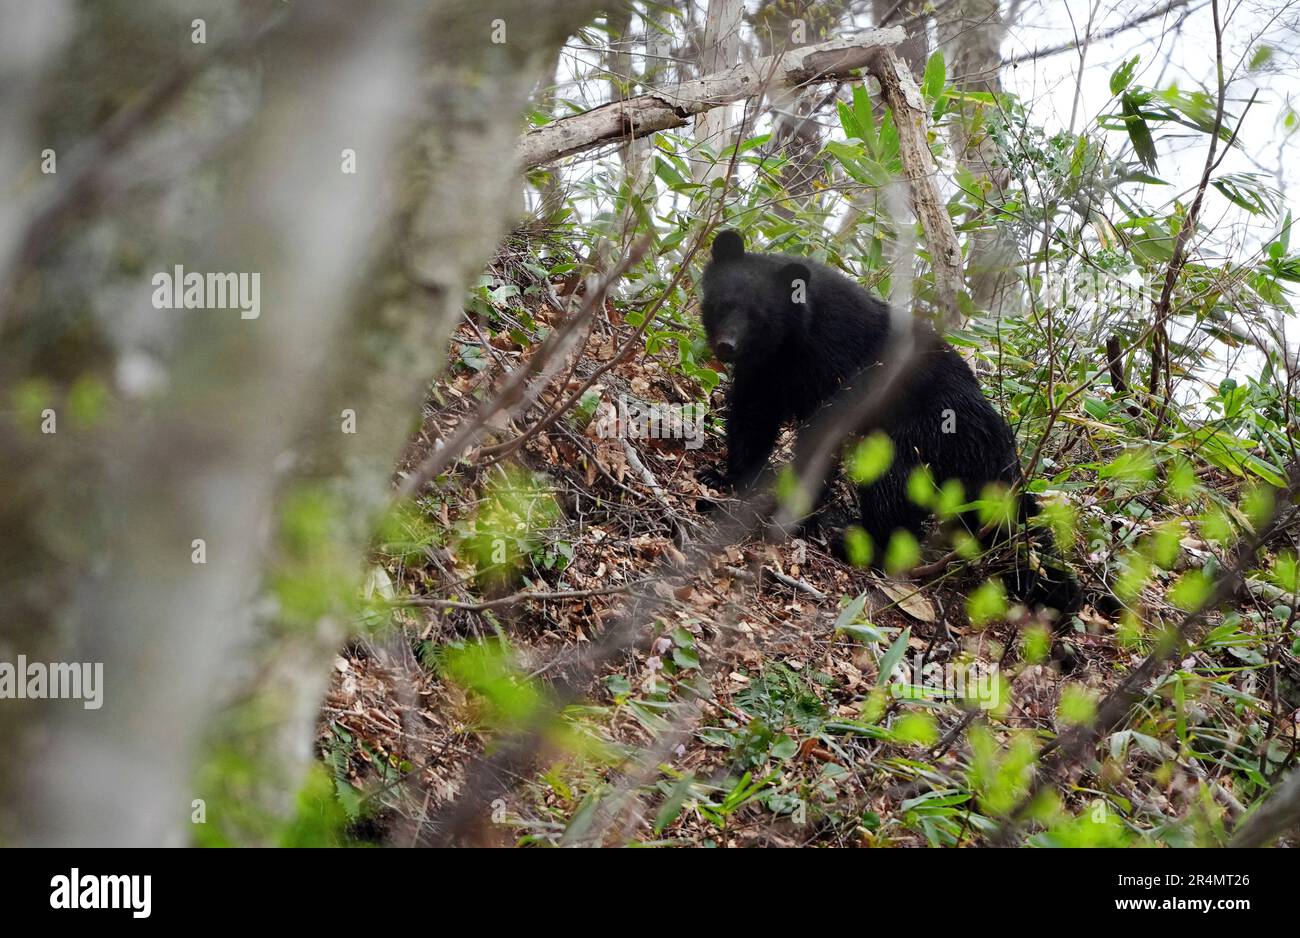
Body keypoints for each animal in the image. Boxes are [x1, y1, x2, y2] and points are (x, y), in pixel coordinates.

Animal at [698, 229, 1081, 621]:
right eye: (722, 304)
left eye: (758, 316)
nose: (726, 346)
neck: (792, 340)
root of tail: (997, 443)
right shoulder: (767, 371)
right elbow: (752, 415)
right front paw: (726, 477)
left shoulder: (836, 366)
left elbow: (820, 436)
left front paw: (795, 507)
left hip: (919, 435)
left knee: (892, 488)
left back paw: (857, 543)